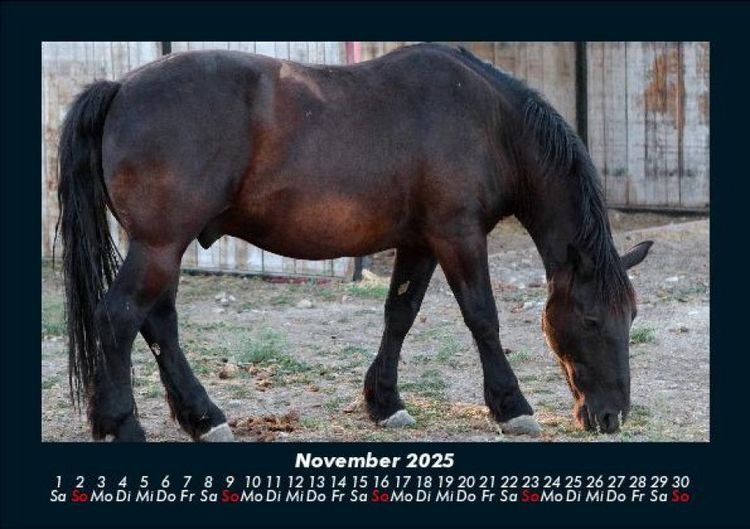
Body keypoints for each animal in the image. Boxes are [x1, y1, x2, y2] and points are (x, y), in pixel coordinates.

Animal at [57, 43, 652, 442]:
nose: (612, 416)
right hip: (159, 245)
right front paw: (512, 406)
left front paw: (385, 403)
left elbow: (399, 314)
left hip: (162, 248)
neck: (490, 123)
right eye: (592, 319)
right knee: (119, 318)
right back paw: (122, 424)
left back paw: (202, 418)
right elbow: (483, 317)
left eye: (631, 317)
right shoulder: (458, 236)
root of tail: (119, 88)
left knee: (157, 324)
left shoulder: (420, 242)